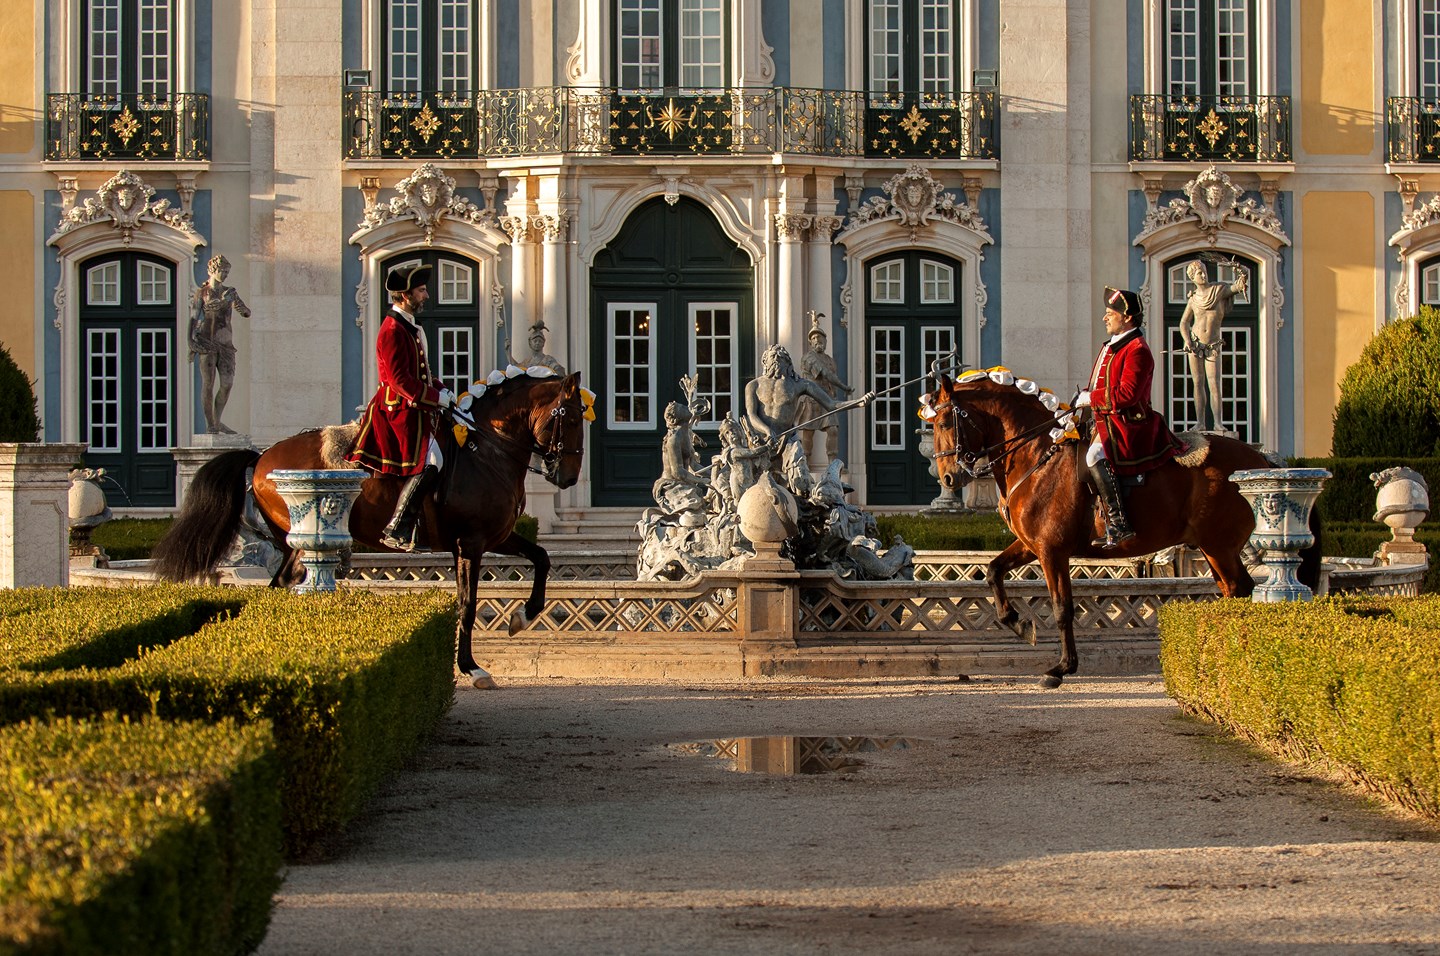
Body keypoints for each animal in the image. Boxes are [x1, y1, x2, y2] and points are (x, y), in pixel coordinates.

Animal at [150, 367, 584, 688]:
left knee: (281, 586)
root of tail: (261, 456)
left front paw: (523, 616)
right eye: (571, 418)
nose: (568, 477)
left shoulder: (497, 536)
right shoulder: (471, 543)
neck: (486, 450)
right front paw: (472, 667)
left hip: (295, 546)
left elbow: (542, 558)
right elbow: (466, 603)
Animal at [927, 368, 1319, 691]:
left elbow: (1061, 607)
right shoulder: (1031, 544)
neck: (1037, 454)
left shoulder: (1052, 550)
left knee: (1239, 589)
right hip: (1214, 548)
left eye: (944, 423)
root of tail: (1263, 459)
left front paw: (1062, 668)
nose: (948, 478)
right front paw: (1018, 623)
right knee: (1233, 590)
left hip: (1219, 546)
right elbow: (993, 571)